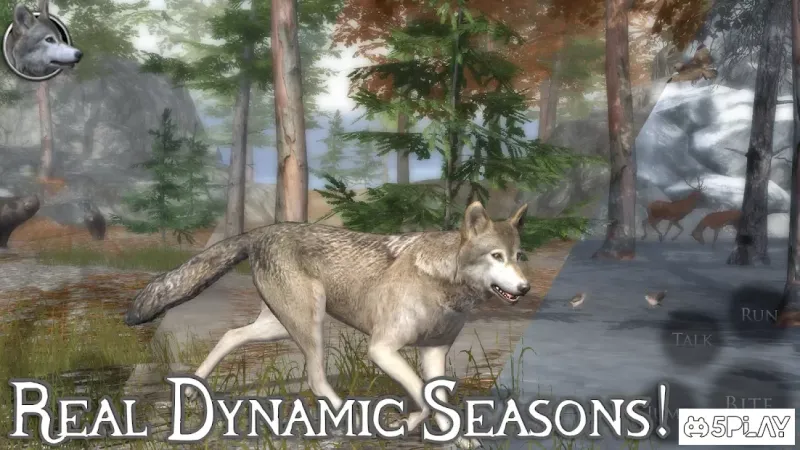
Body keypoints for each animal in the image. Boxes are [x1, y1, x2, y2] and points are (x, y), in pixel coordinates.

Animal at [125, 201, 531, 448]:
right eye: (496, 256)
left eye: (518, 256)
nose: (526, 288)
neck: (446, 284)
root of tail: (261, 232)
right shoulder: (381, 350)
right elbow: (424, 398)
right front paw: (409, 423)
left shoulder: (434, 353)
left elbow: (438, 401)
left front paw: (454, 437)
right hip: (311, 323)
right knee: (316, 378)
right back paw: (351, 420)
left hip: (278, 326)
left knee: (231, 335)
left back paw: (195, 390)